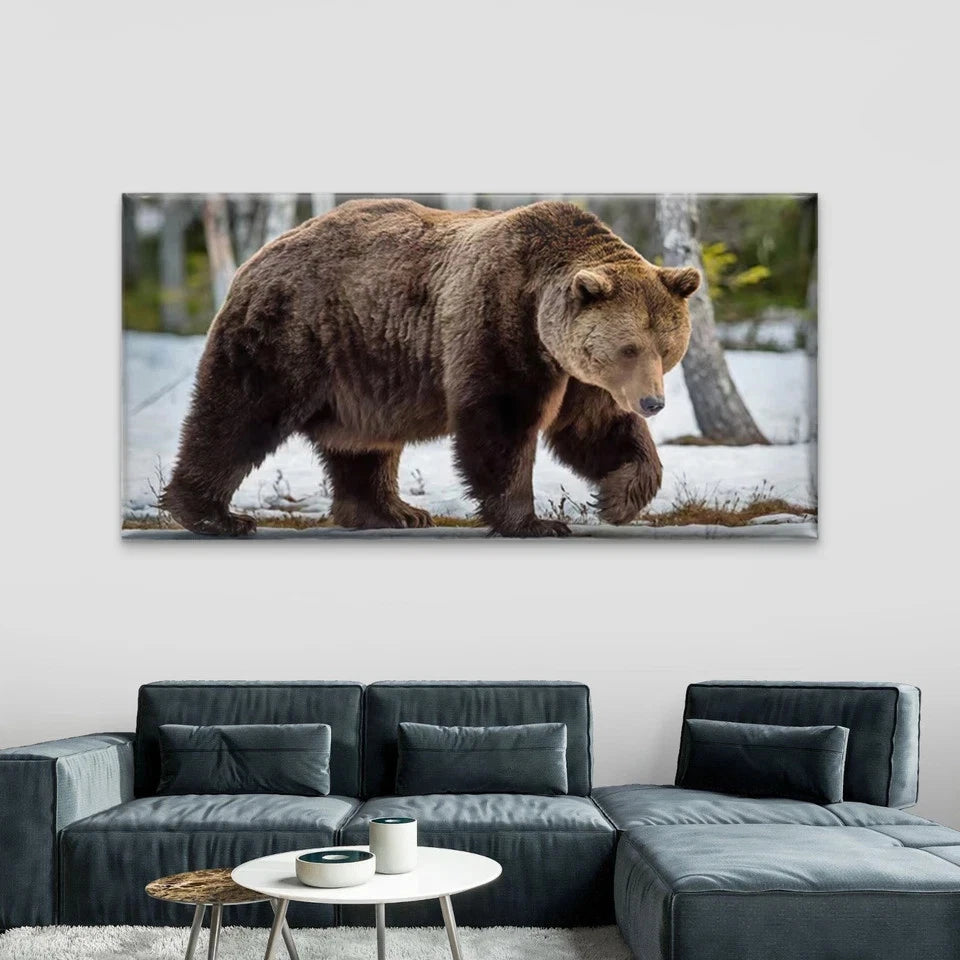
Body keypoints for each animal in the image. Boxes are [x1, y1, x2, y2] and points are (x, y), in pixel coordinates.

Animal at [161, 198, 700, 537]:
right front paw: (535, 522)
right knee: (239, 415)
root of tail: (258, 256)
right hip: (292, 335)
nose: (653, 402)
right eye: (629, 347)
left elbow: (597, 430)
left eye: (666, 347)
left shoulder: (577, 375)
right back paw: (213, 515)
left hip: (362, 369)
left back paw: (393, 511)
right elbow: (501, 425)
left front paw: (616, 498)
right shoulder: (498, 326)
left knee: (363, 445)